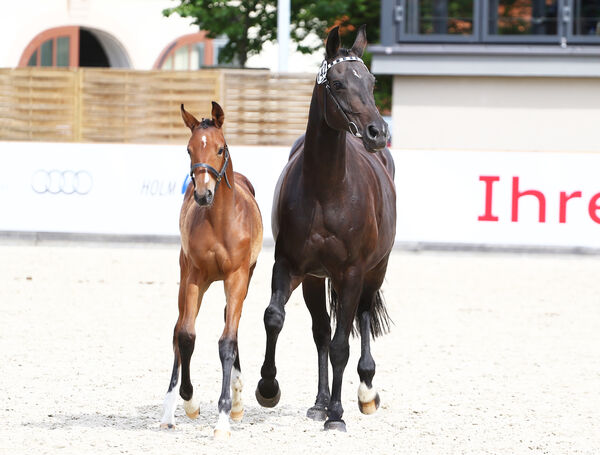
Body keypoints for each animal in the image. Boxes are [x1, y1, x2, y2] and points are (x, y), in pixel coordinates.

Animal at [159, 102, 262, 438]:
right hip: (185, 276)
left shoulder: (237, 277)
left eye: (220, 148)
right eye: (189, 149)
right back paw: (169, 411)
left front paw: (224, 417)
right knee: (177, 330)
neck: (219, 223)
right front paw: (189, 401)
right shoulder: (195, 277)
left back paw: (238, 401)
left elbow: (227, 341)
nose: (203, 195)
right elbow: (186, 335)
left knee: (232, 323)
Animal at [255, 25, 396, 434]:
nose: (377, 131)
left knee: (361, 317)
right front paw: (268, 387)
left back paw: (364, 392)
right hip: (316, 280)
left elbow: (341, 345)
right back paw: (319, 403)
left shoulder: (351, 272)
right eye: (337, 82)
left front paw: (337, 415)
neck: (326, 189)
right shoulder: (289, 266)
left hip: (375, 271)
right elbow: (275, 318)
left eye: (371, 81)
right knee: (320, 331)